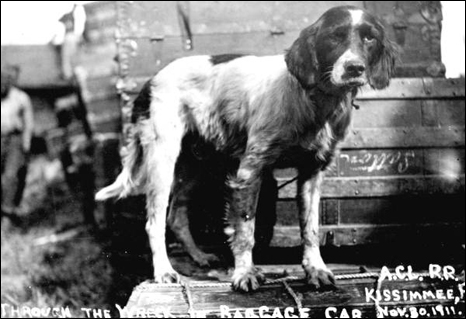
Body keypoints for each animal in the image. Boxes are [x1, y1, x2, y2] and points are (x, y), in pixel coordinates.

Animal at [95, 6, 396, 292]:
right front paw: (244, 274)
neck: (313, 101)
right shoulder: (250, 171)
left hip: (196, 164)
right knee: (155, 222)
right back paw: (164, 271)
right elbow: (244, 230)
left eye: (369, 38)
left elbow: (310, 229)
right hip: (163, 161)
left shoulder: (312, 172)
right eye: (334, 36)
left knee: (176, 216)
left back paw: (199, 256)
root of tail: (151, 81)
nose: (355, 68)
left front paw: (316, 270)